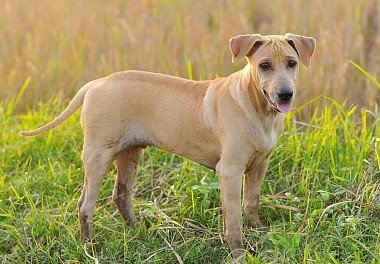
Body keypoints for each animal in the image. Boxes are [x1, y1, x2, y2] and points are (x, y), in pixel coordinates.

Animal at [22, 33, 316, 258]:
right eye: (264, 65)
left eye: (291, 63)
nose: (285, 94)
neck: (257, 107)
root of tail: (95, 83)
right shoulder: (229, 171)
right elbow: (233, 219)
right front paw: (238, 253)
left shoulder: (259, 165)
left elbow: (251, 203)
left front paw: (258, 232)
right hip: (98, 155)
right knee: (85, 204)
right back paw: (89, 246)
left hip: (130, 152)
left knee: (121, 193)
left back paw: (136, 229)